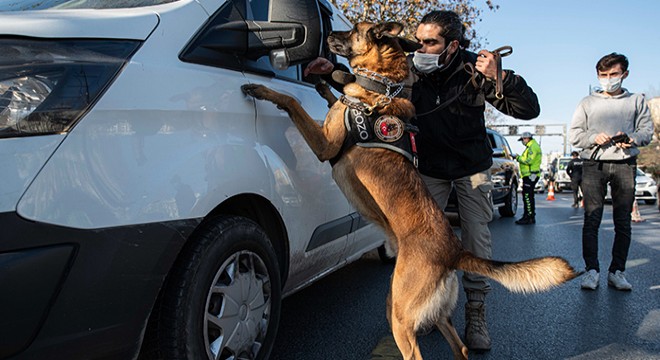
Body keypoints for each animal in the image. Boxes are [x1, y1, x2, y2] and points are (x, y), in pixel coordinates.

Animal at [244, 21, 576, 358]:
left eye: (353, 30)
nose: (327, 37)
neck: (378, 88)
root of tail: (454, 251)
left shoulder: (325, 145)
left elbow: (293, 103)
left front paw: (265, 91)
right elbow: (330, 96)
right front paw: (326, 83)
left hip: (400, 315)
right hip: (430, 311)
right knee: (460, 348)